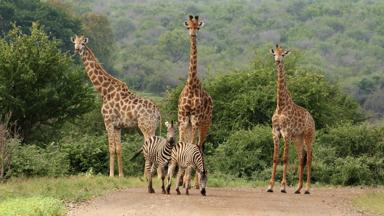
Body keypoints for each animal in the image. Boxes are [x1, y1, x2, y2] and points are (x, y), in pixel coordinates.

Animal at [71, 35, 160, 177]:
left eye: (83, 43)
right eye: (75, 42)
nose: (77, 49)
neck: (104, 91)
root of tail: (158, 112)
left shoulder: (108, 121)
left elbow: (111, 148)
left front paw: (111, 174)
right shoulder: (118, 126)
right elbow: (119, 149)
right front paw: (121, 175)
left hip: (146, 127)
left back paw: (148, 175)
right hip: (153, 127)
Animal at [268, 44, 316, 195]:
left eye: (283, 54)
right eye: (274, 54)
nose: (277, 61)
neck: (281, 106)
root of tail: (312, 119)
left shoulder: (286, 133)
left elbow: (285, 158)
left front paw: (283, 187)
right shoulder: (275, 132)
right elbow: (275, 158)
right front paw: (270, 186)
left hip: (308, 135)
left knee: (310, 157)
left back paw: (307, 189)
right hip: (298, 138)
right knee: (301, 158)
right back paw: (298, 188)